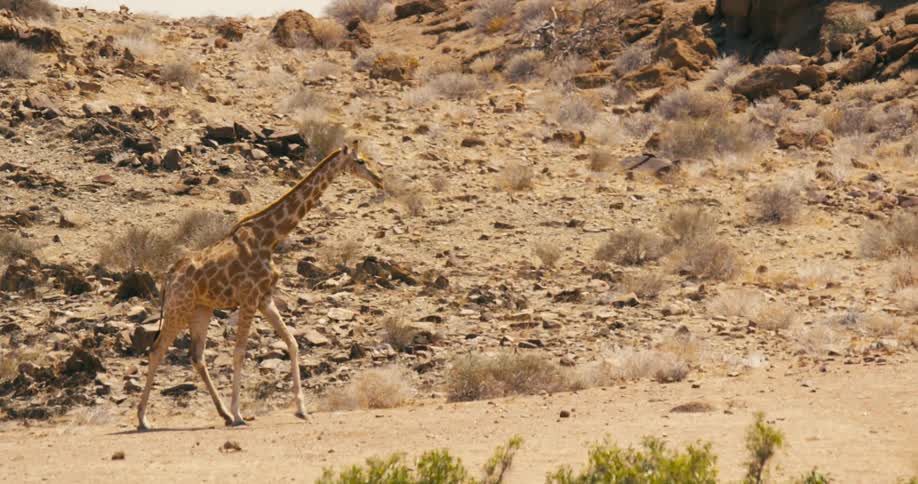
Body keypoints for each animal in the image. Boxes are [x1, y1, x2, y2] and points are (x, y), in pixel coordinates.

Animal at [136, 141, 383, 430]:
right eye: (360, 161)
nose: (379, 179)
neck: (270, 238)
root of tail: (168, 277)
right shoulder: (249, 298)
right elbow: (239, 352)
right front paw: (240, 414)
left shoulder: (265, 298)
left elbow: (292, 343)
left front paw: (301, 410)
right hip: (179, 307)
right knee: (157, 350)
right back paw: (143, 419)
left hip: (201, 309)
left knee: (197, 356)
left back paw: (222, 414)